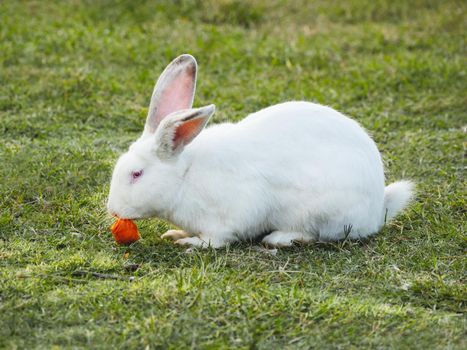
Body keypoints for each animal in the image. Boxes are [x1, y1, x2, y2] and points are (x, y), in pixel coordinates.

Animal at [108, 53, 414, 247]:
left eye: (137, 174)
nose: (112, 209)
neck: (185, 177)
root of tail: (378, 209)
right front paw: (175, 233)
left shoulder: (229, 217)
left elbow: (216, 240)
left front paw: (190, 242)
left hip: (321, 214)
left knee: (317, 235)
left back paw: (280, 239)